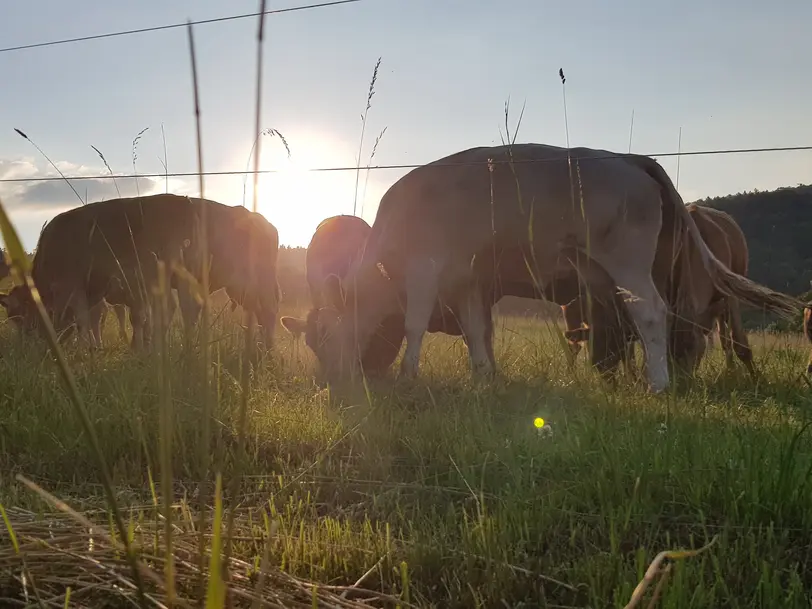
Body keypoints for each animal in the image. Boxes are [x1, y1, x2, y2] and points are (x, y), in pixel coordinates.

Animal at [0, 192, 198, 350]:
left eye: (19, 316)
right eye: (11, 318)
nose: (24, 344)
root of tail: (181, 201)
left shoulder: (73, 286)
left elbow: (83, 320)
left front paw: (83, 349)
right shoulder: (96, 290)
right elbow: (94, 318)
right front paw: (95, 347)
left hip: (158, 272)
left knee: (174, 307)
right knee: (184, 306)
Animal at [300, 143, 800, 392]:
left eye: (323, 336)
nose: (332, 379)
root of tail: (630, 159)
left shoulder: (425, 267)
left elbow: (415, 323)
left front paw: (408, 376)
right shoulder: (467, 281)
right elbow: (476, 330)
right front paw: (483, 378)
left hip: (627, 261)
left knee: (652, 313)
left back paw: (658, 383)